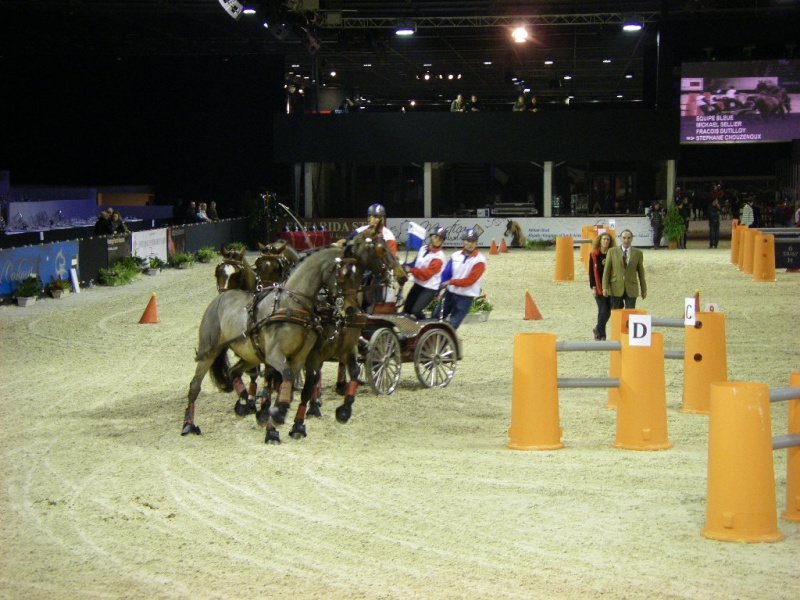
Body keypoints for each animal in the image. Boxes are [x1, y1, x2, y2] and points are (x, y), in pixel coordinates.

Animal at [184, 227, 404, 442]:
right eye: (342, 274)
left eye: (356, 273)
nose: (400, 274)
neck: (293, 305)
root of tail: (219, 300)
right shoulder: (287, 356)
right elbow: (287, 382)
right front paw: (277, 415)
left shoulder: (325, 352)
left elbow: (344, 374)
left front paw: (340, 410)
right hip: (210, 352)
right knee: (196, 384)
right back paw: (190, 424)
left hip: (250, 355)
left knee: (233, 372)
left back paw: (245, 404)